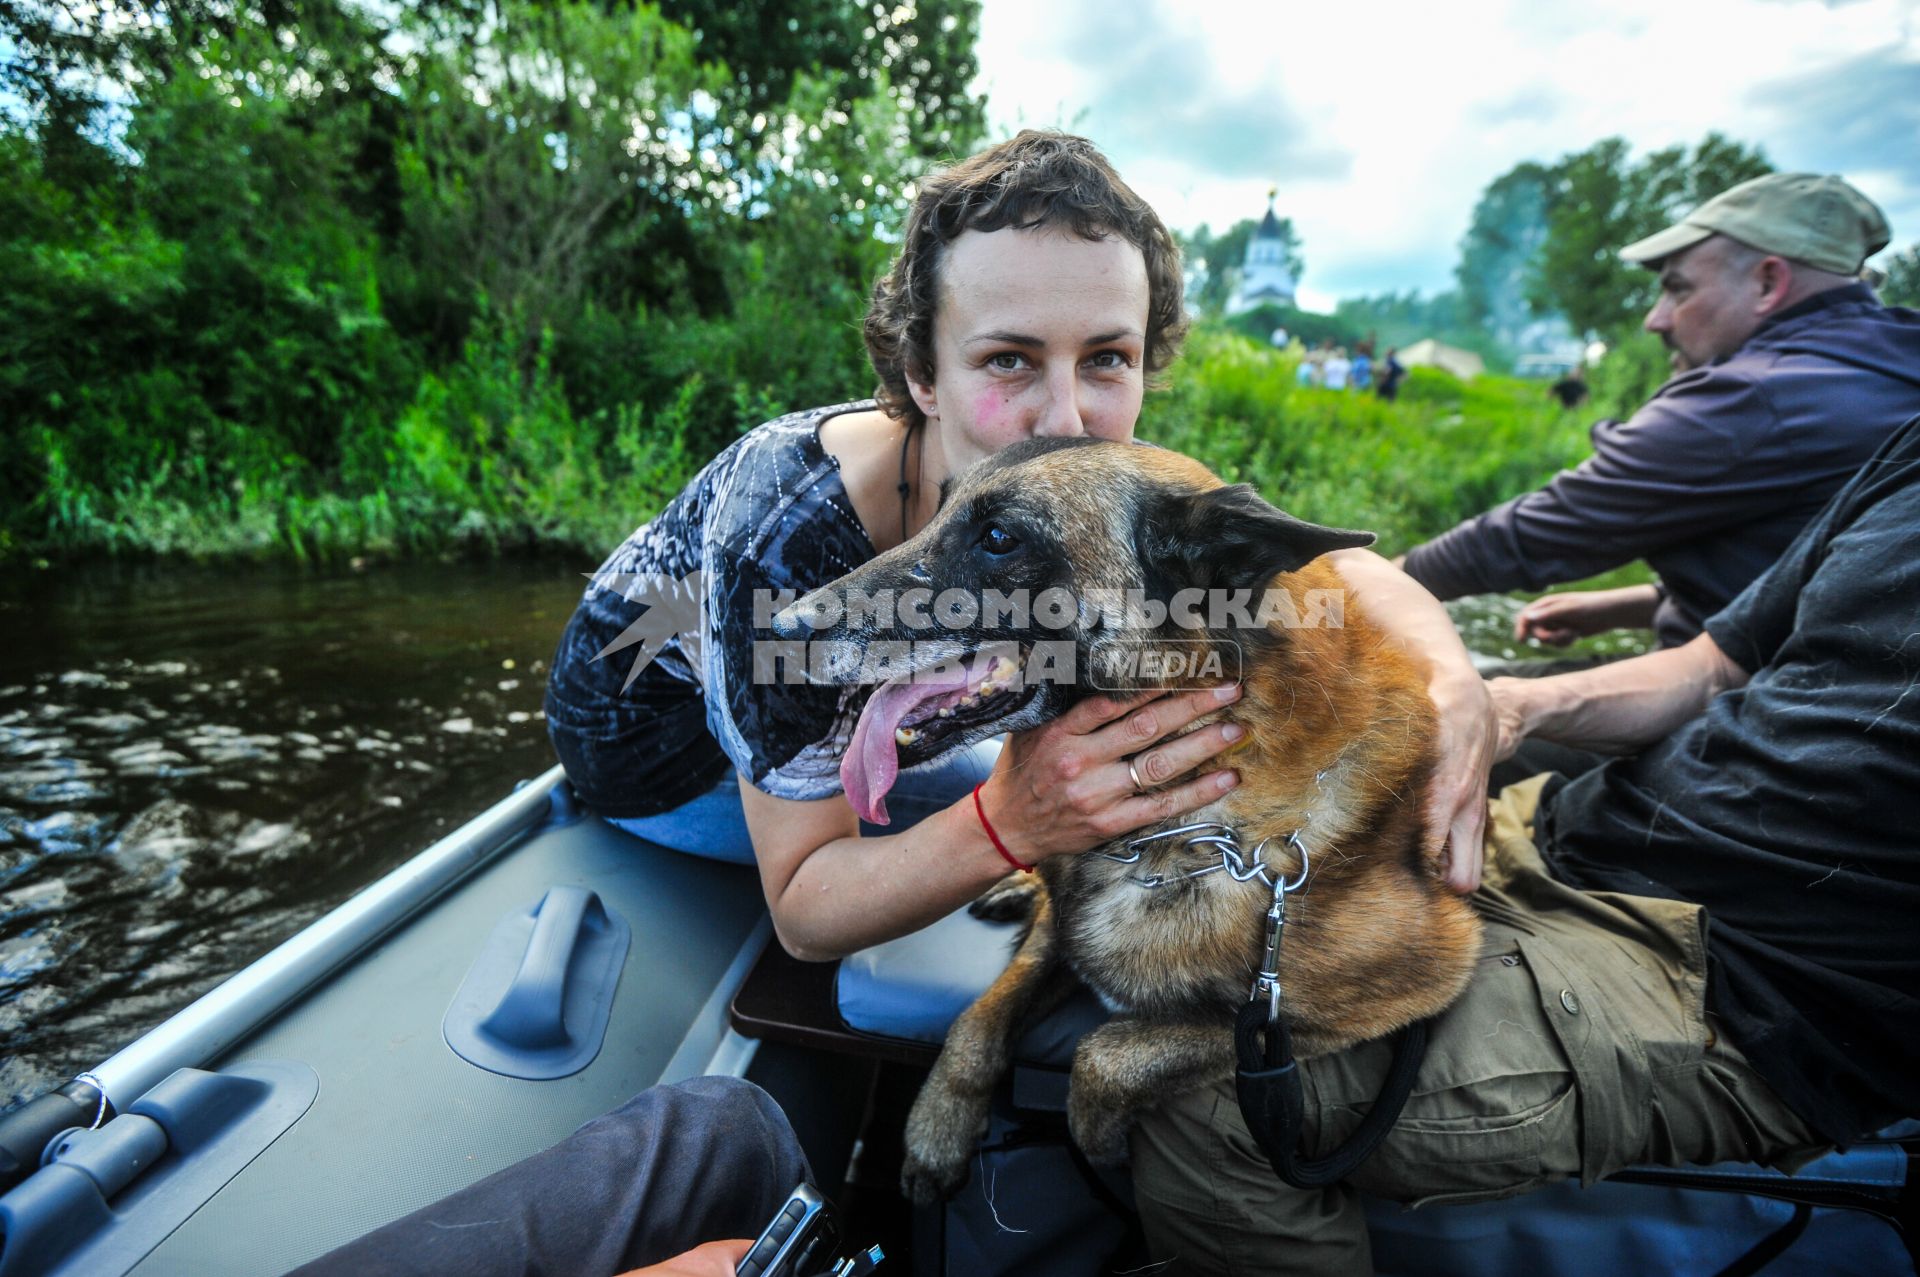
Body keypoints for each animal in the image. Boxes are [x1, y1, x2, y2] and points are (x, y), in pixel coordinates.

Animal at [771, 435, 1474, 1198]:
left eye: (999, 537)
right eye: (937, 506)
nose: (779, 629)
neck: (1193, 828)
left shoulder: (1398, 990)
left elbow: (1106, 1053)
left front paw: (1099, 1149)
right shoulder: (1063, 929)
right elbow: (976, 1023)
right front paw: (938, 1131)